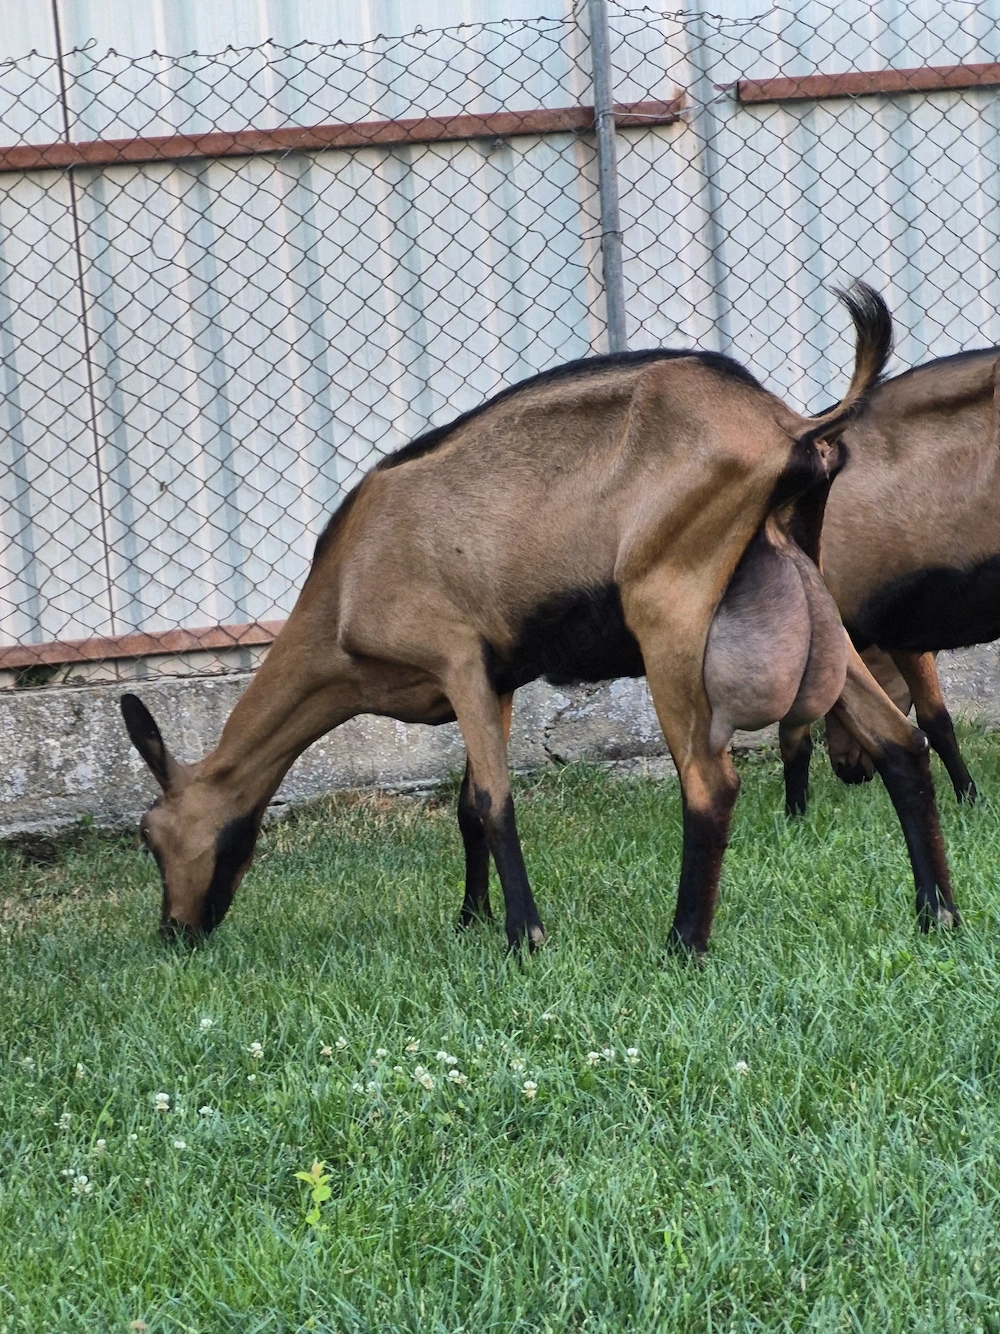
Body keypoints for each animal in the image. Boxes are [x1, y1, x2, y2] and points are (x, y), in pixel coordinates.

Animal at [121, 283, 959, 954]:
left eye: (152, 837)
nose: (175, 933)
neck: (342, 596)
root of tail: (790, 427)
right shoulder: (496, 678)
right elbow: (466, 807)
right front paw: (471, 917)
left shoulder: (457, 657)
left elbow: (494, 804)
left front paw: (525, 936)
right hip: (806, 595)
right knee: (900, 743)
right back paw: (937, 915)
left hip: (670, 607)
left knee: (709, 782)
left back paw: (682, 943)